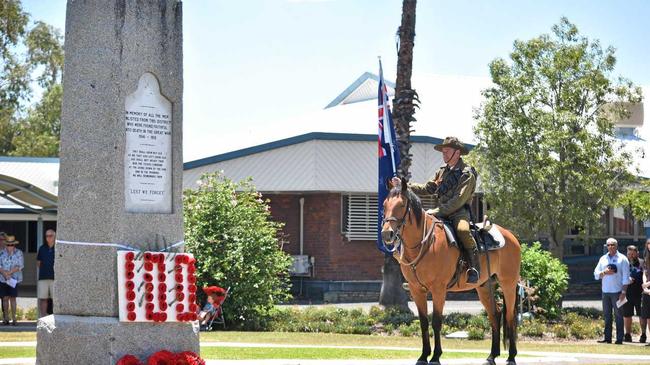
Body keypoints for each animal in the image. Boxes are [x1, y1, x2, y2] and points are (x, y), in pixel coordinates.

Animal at [380, 182, 520, 364]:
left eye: (402, 205)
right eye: (384, 205)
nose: (386, 234)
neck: (424, 243)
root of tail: (511, 236)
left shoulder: (438, 289)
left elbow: (436, 322)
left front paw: (435, 356)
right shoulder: (416, 290)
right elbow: (423, 322)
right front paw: (423, 356)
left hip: (508, 284)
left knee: (510, 317)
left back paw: (511, 357)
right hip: (484, 287)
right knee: (495, 315)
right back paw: (491, 356)